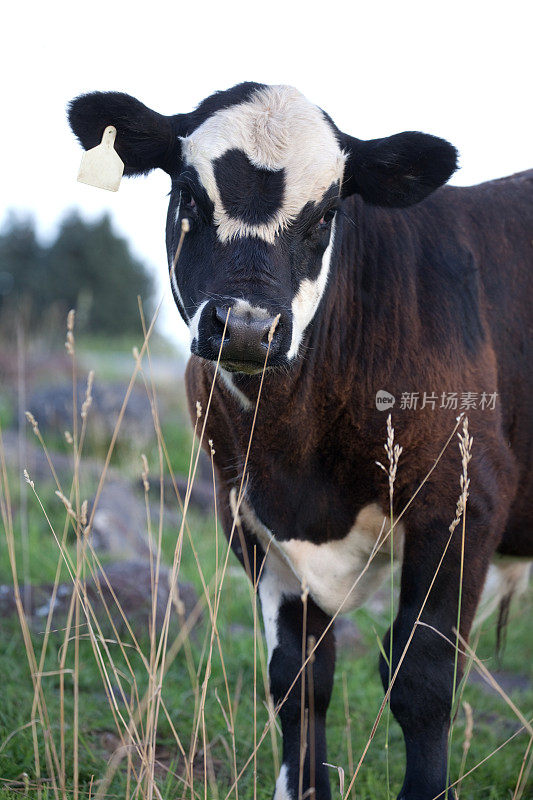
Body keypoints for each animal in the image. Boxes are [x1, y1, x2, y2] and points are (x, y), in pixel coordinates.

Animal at [68, 83, 528, 800]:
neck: (298, 462)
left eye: (327, 212)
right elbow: (297, 681)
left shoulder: (464, 498)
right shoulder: (252, 520)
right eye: (189, 193)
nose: (248, 326)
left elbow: (422, 678)